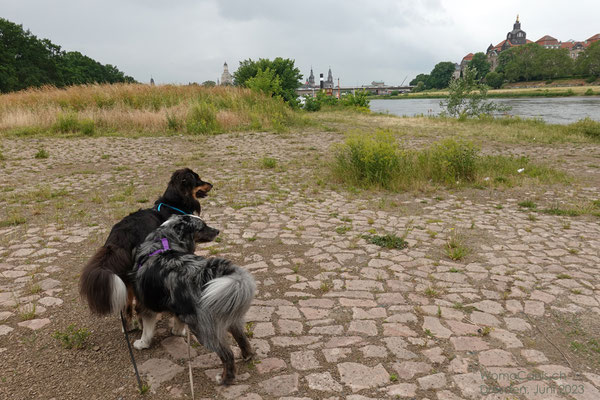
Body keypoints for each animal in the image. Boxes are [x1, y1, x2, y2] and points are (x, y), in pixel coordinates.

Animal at [78, 167, 212, 326]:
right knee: (137, 304)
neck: (175, 203)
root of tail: (119, 236)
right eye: (197, 179)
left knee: (128, 303)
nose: (211, 184)